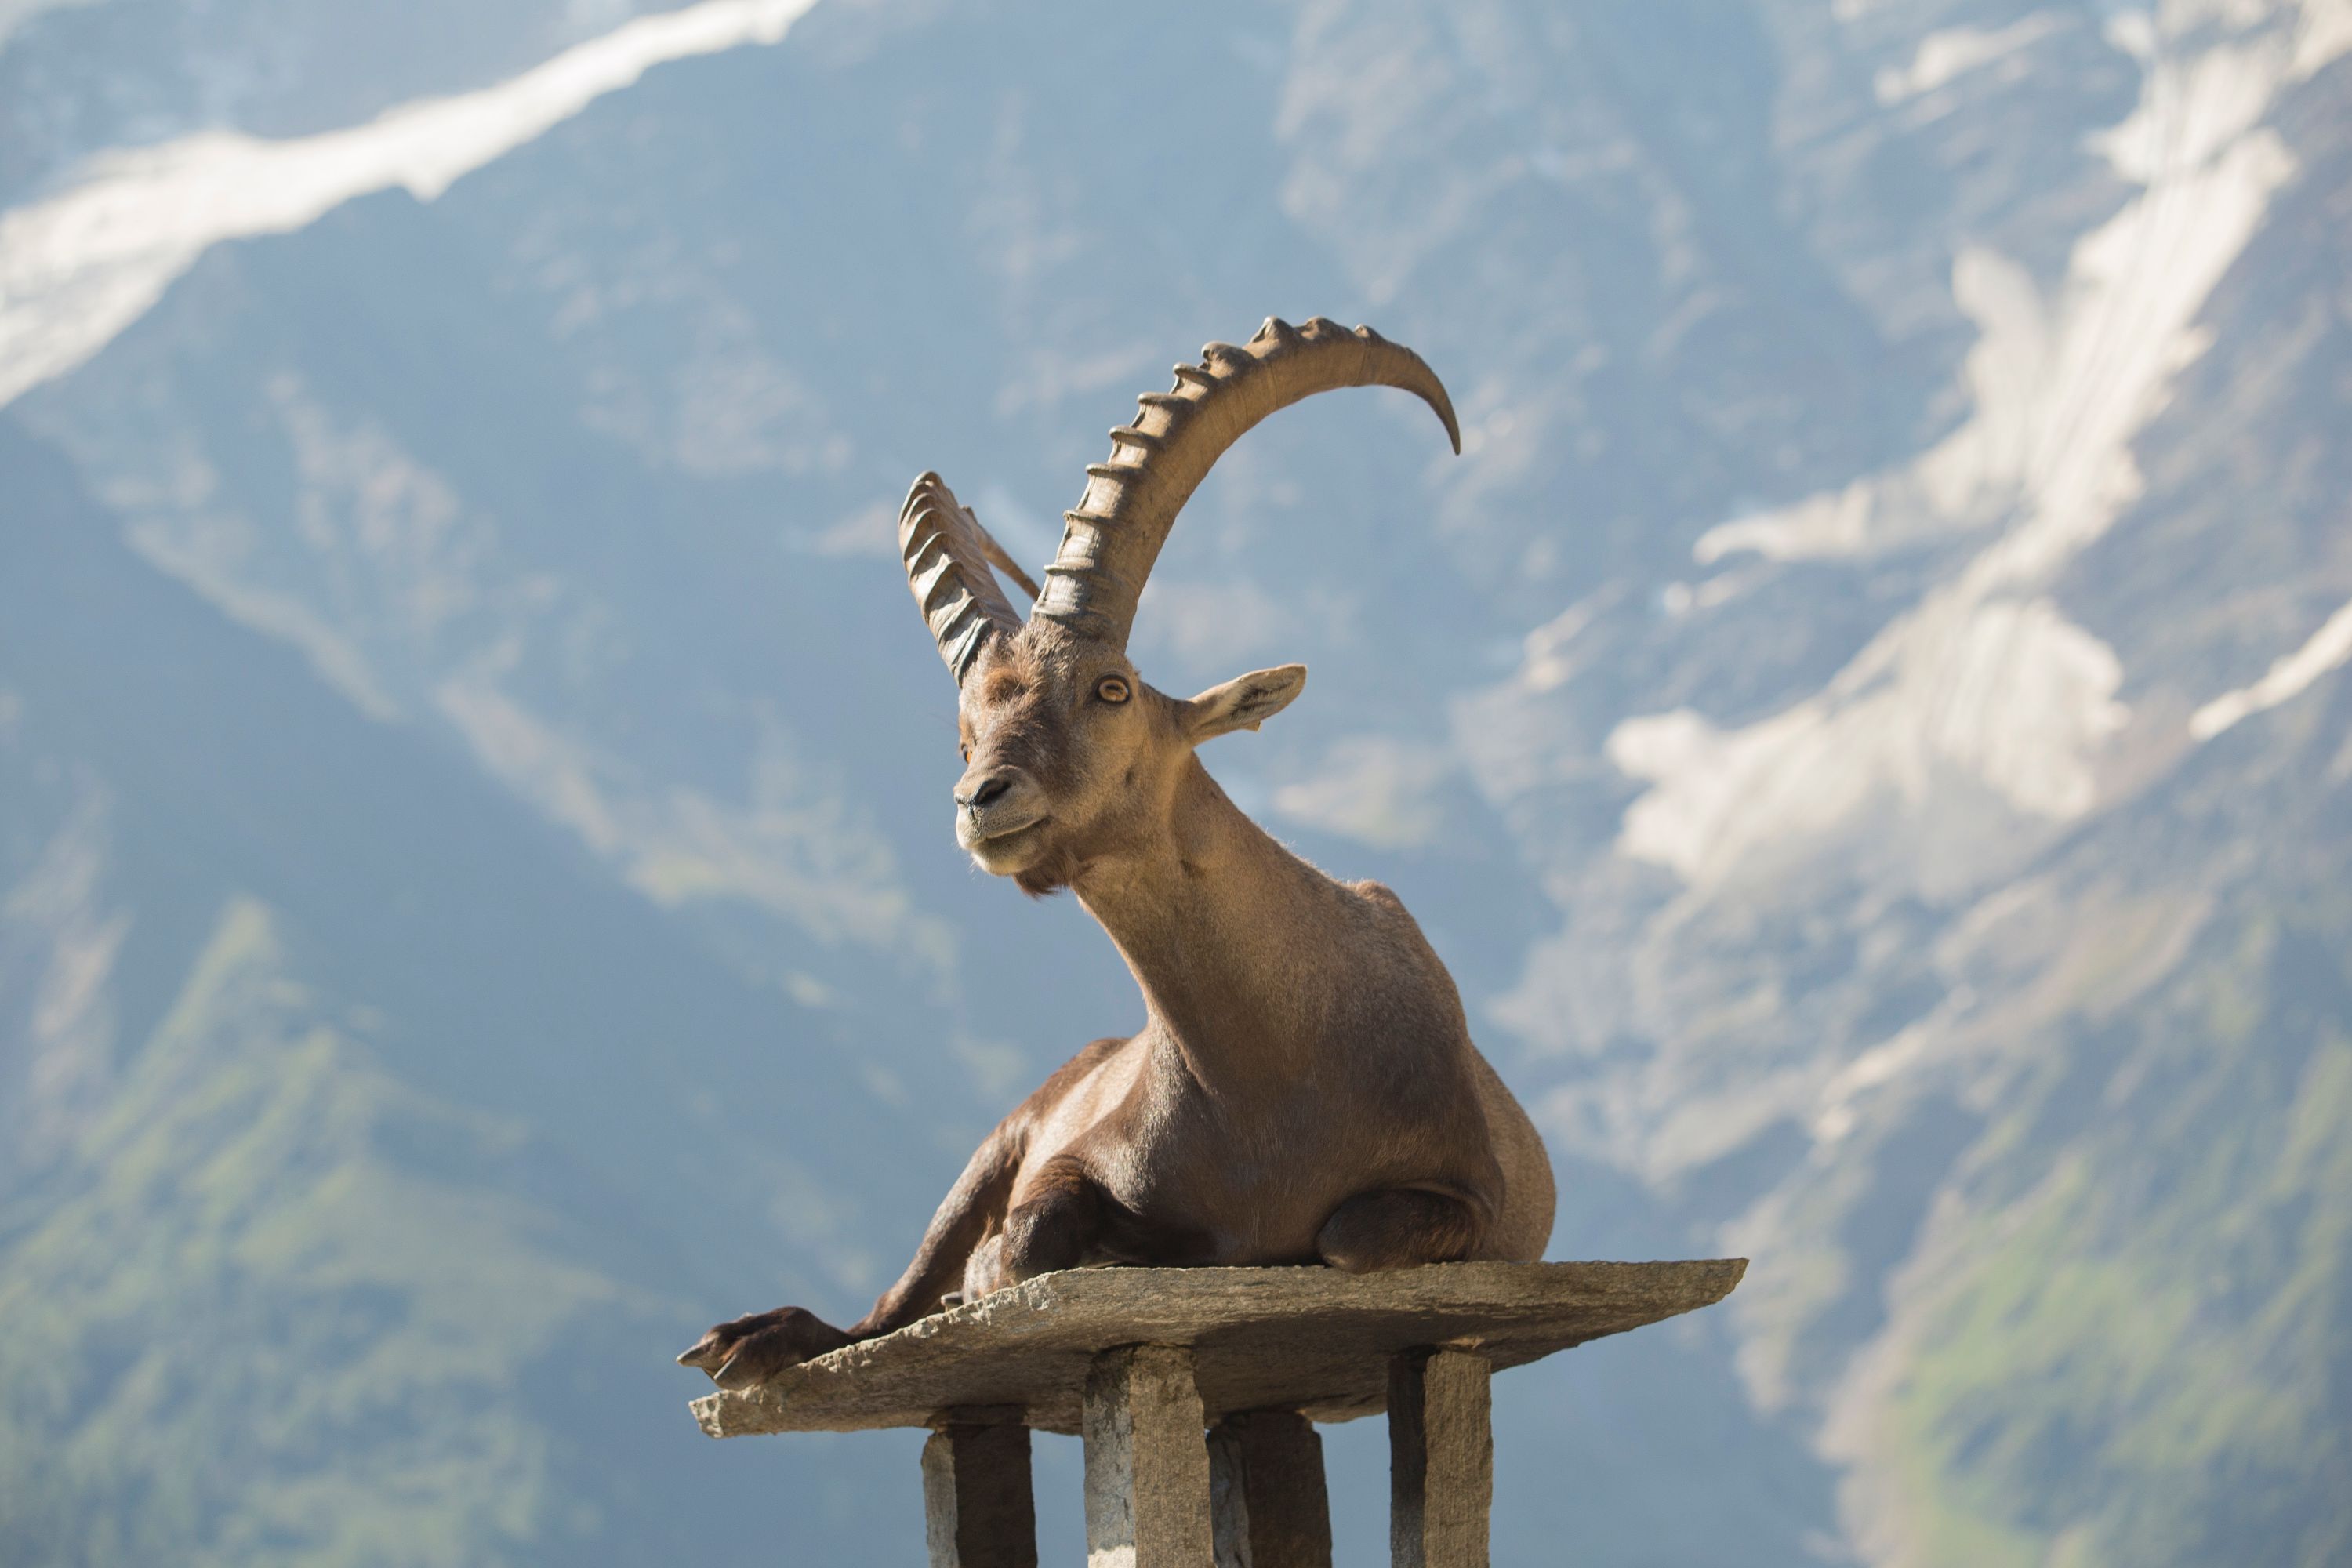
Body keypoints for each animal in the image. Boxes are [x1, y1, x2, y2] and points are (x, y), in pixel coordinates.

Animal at [680, 317, 1555, 1389]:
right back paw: (753, 1337)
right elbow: (1025, 1234)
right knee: (888, 1306)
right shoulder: (1072, 1153)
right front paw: (1039, 1261)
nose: (981, 800)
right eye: (965, 733)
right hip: (1001, 1133)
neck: (1275, 1070)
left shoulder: (1471, 1194)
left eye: (1111, 689)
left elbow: (1345, 1233)